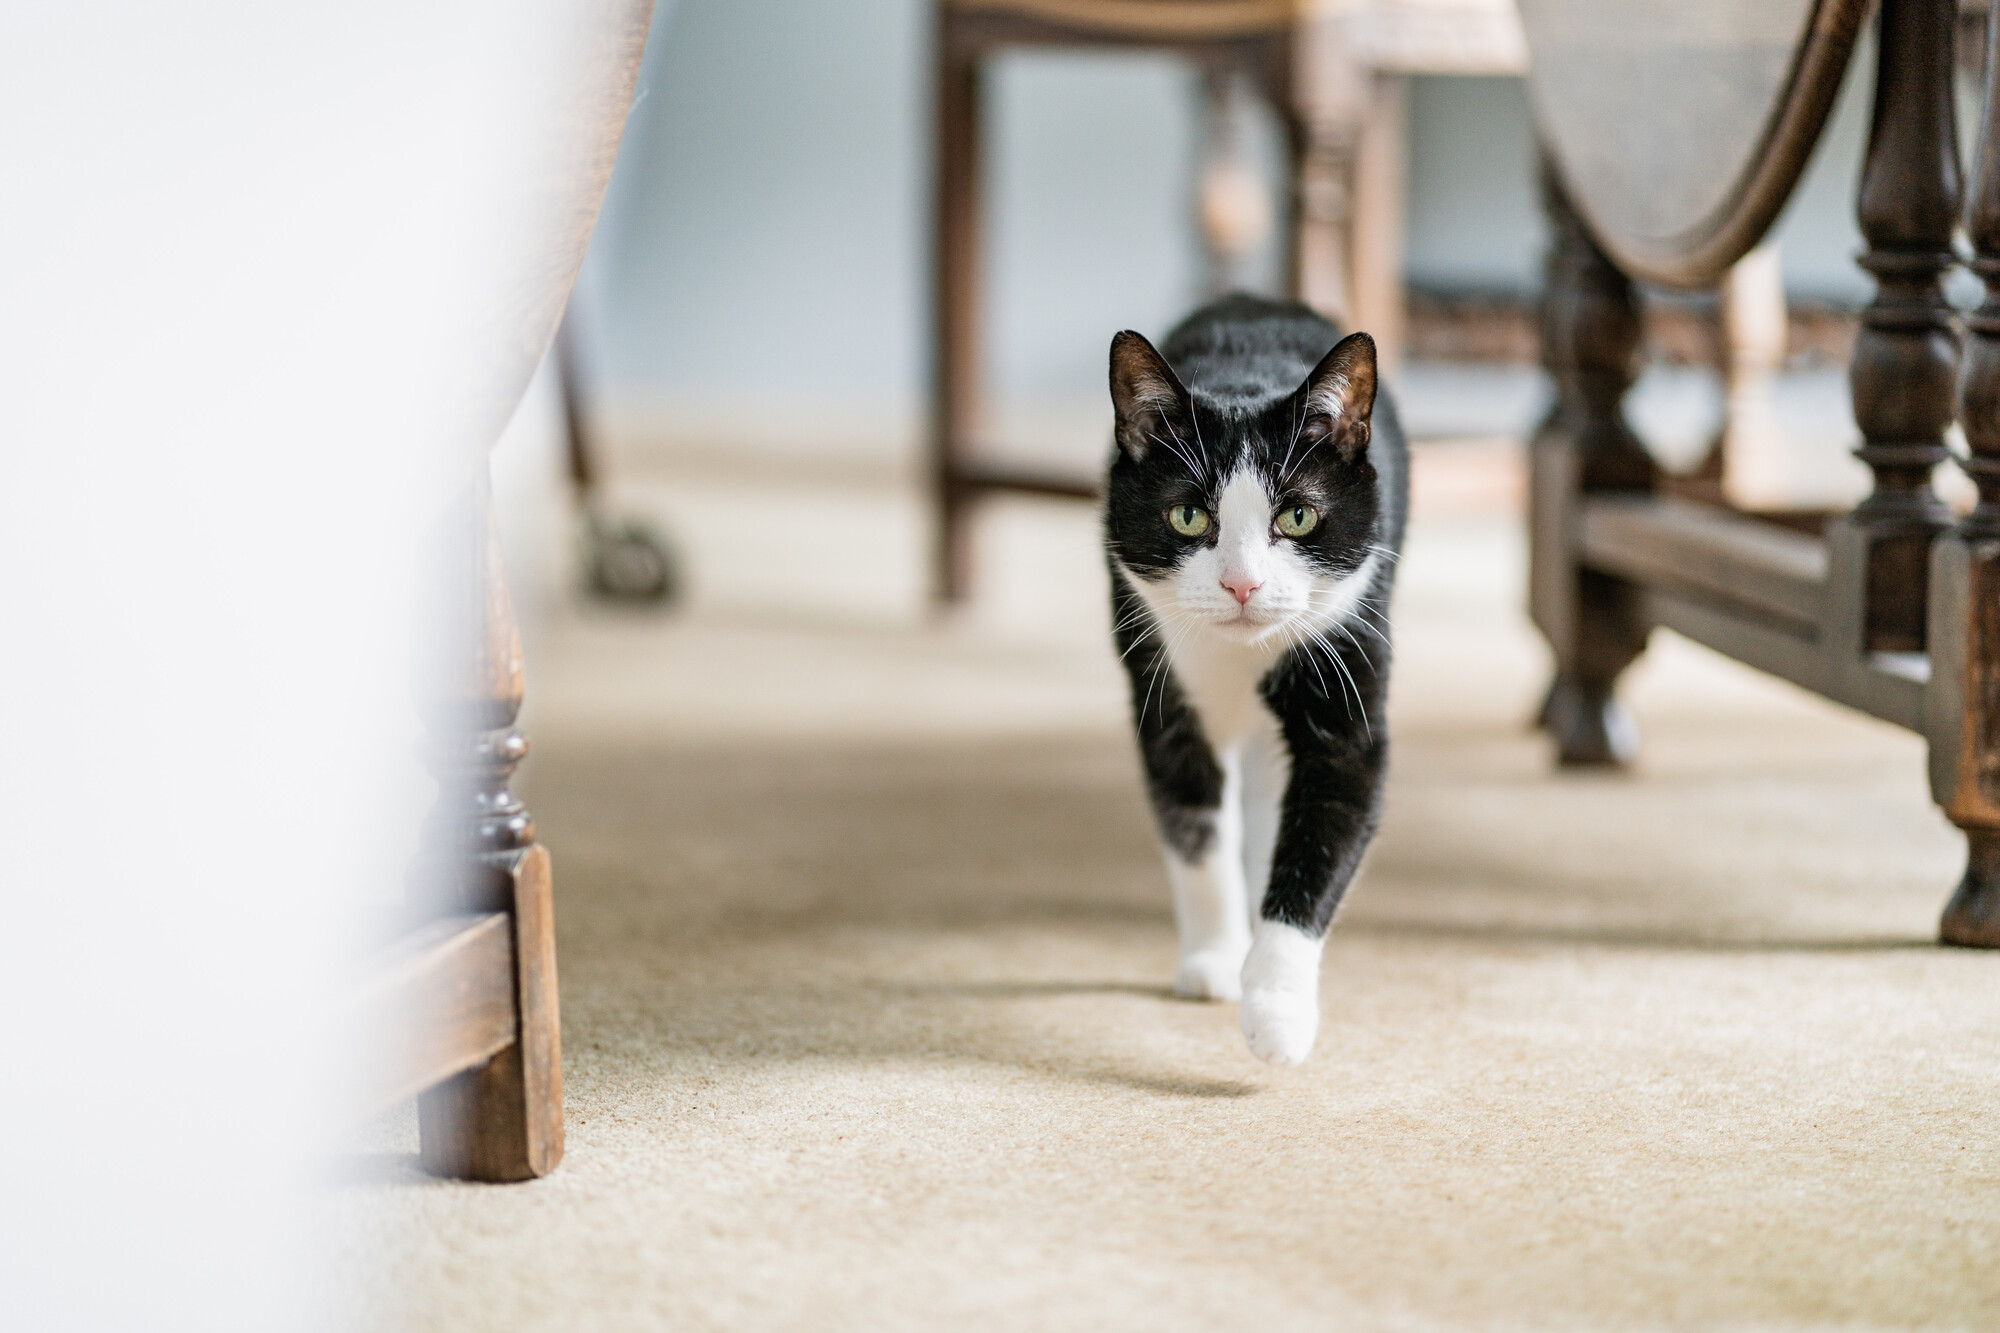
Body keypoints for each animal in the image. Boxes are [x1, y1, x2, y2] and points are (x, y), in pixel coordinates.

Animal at [1112, 296, 1408, 1064]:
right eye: (1189, 514)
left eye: (1297, 515)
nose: (1241, 584)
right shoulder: (1164, 686)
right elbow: (1194, 829)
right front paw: (1217, 957)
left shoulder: (1349, 662)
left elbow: (1323, 831)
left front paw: (1276, 1008)